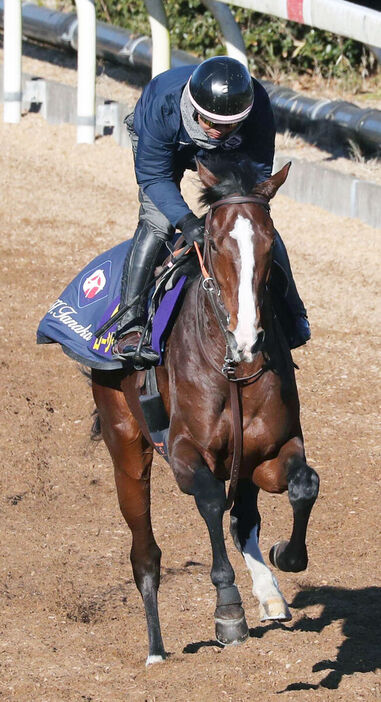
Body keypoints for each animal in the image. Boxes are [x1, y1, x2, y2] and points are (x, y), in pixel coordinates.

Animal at [90, 158, 320, 664]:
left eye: (270, 242)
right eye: (214, 243)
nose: (249, 337)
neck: (232, 366)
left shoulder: (269, 450)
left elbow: (303, 486)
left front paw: (285, 557)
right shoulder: (182, 452)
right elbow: (213, 501)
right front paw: (228, 609)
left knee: (244, 520)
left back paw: (271, 595)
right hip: (125, 445)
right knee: (145, 553)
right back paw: (156, 648)